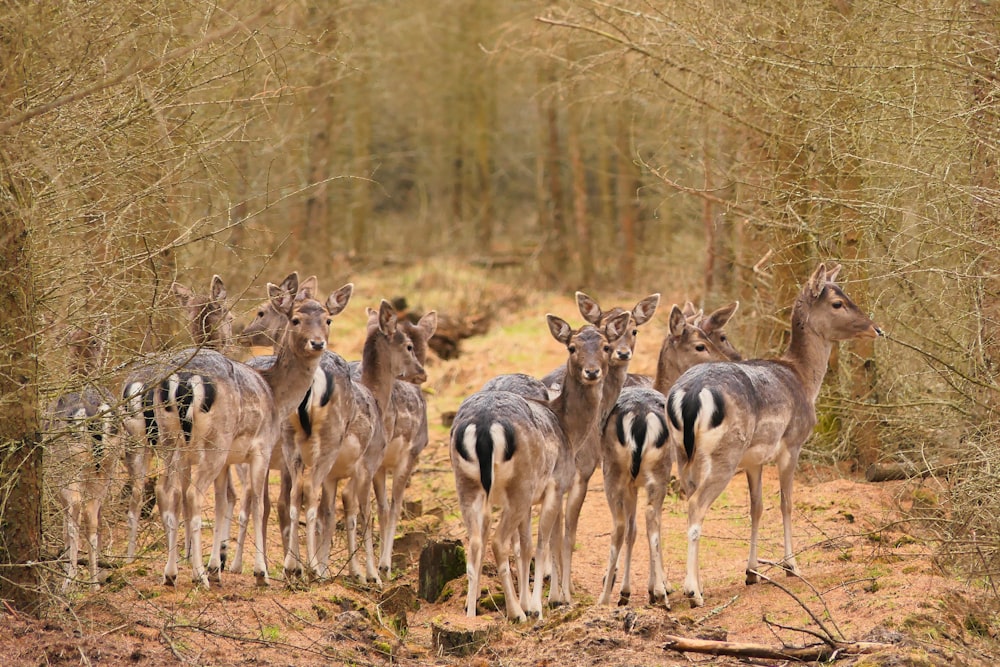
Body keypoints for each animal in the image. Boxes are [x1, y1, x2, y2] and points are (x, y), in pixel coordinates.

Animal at [149, 274, 336, 588]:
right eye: (296, 319)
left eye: (327, 319)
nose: (317, 343)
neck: (275, 394)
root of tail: (184, 382)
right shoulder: (260, 449)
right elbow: (259, 504)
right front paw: (260, 573)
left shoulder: (229, 461)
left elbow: (225, 502)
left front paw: (218, 566)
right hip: (215, 441)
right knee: (193, 495)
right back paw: (199, 576)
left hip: (169, 441)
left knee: (168, 492)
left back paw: (171, 573)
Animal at [452, 310, 628, 624]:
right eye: (572, 347)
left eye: (605, 346)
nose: (592, 372)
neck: (568, 429)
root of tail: (483, 425)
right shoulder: (556, 485)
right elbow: (543, 543)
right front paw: (537, 606)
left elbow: (526, 545)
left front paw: (534, 601)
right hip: (519, 485)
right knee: (498, 541)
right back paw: (516, 613)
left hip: (467, 484)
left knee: (474, 544)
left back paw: (471, 615)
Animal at [592, 306, 744, 608]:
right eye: (700, 344)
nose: (731, 361)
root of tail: (638, 418)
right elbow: (649, 526)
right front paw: (658, 586)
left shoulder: (630, 483)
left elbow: (631, 529)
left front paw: (625, 589)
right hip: (657, 471)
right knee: (652, 517)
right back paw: (660, 594)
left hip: (613, 471)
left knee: (619, 524)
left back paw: (604, 598)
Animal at [668, 264, 880, 608]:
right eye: (838, 302)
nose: (876, 329)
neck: (804, 379)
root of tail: (687, 395)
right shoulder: (792, 444)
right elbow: (786, 503)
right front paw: (792, 566)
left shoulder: (754, 460)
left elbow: (756, 508)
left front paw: (752, 572)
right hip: (725, 453)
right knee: (697, 504)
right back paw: (693, 592)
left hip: (681, 452)